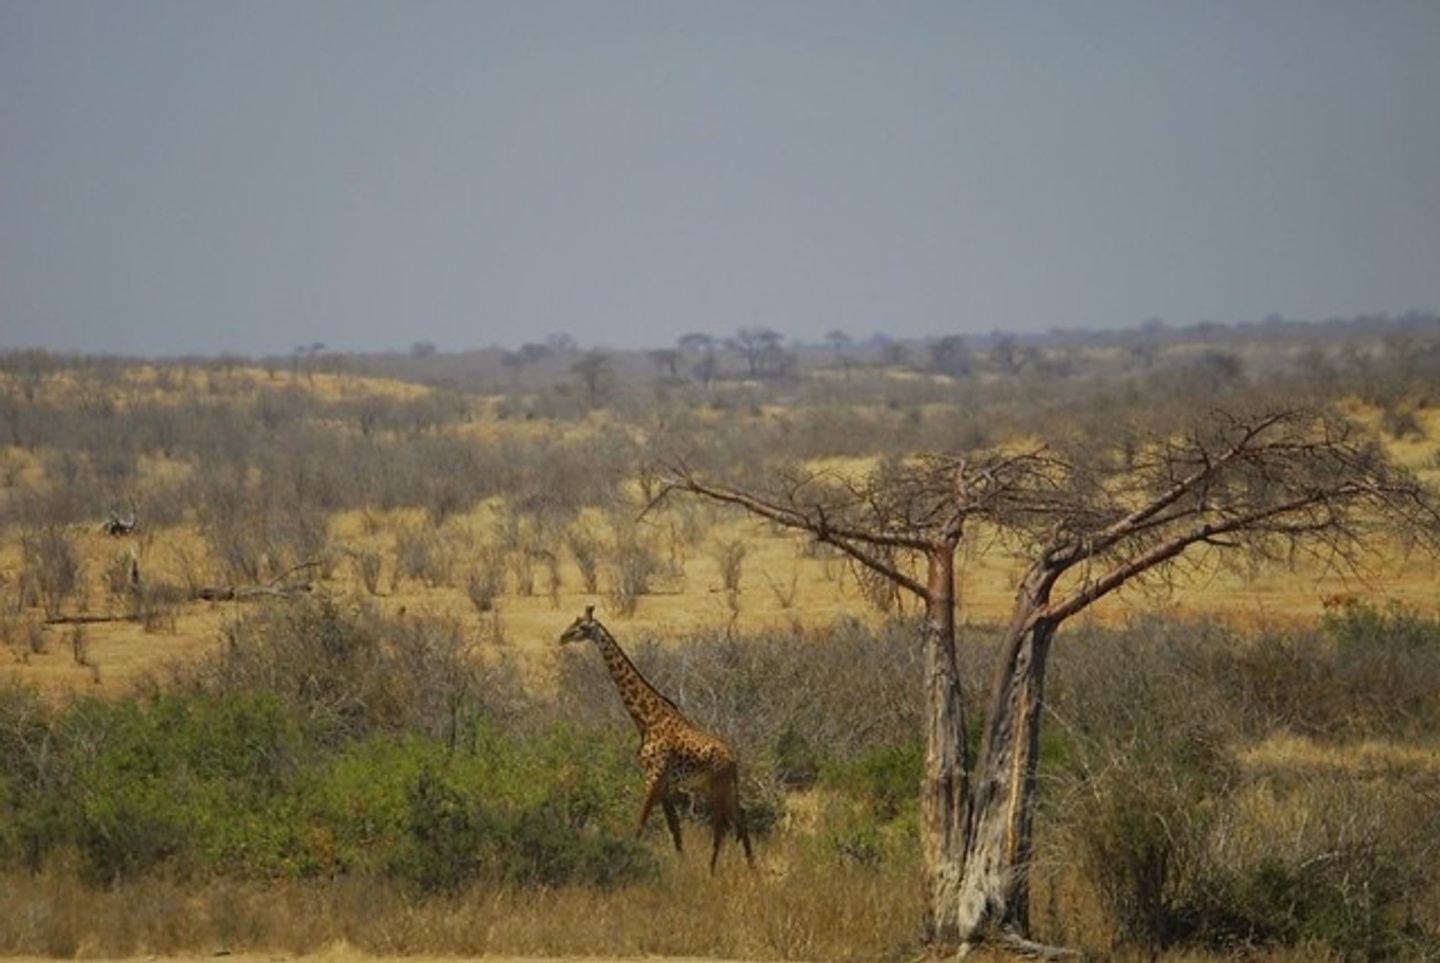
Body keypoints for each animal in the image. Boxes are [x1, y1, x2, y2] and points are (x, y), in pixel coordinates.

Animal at [558, 606, 754, 872]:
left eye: (581, 627)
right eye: (574, 623)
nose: (563, 637)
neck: (647, 719)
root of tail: (734, 760)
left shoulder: (653, 777)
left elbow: (639, 825)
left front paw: (627, 861)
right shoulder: (664, 785)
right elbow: (675, 830)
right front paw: (681, 866)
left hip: (717, 786)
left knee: (721, 825)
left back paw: (713, 871)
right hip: (719, 787)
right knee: (739, 817)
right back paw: (751, 868)